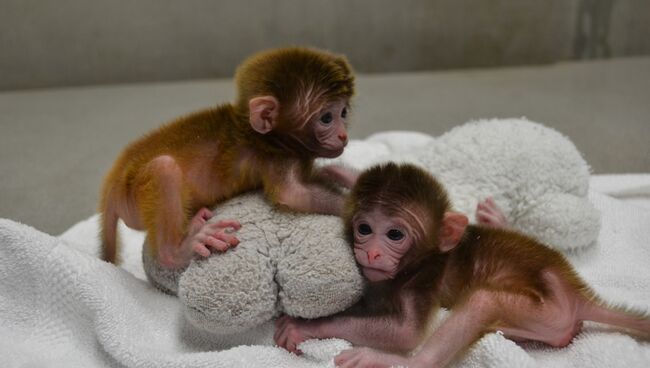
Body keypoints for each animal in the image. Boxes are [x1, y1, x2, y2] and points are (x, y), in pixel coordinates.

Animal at [97, 47, 354, 268]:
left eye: (343, 113)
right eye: (326, 118)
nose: (343, 135)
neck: (257, 134)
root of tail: (114, 181)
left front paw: (343, 175)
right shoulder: (277, 159)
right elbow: (292, 194)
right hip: (132, 199)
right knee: (164, 168)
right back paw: (175, 251)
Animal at [274, 164, 648, 368]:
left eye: (395, 234)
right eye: (364, 229)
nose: (374, 254)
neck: (422, 259)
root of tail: (576, 290)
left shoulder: (422, 281)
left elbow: (407, 332)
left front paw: (306, 327)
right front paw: (342, 172)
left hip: (549, 309)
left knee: (483, 301)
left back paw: (396, 360)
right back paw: (499, 221)